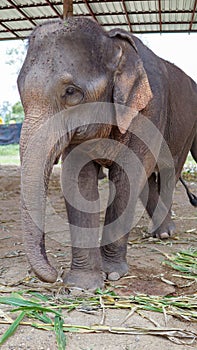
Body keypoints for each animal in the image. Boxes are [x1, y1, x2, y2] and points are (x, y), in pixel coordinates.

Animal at [17, 17, 197, 290]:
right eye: (19, 90)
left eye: (71, 92)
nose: (54, 274)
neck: (112, 42)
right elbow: (78, 180)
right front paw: (82, 285)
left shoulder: (149, 109)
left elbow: (127, 175)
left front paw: (112, 274)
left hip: (184, 131)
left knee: (168, 173)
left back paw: (164, 233)